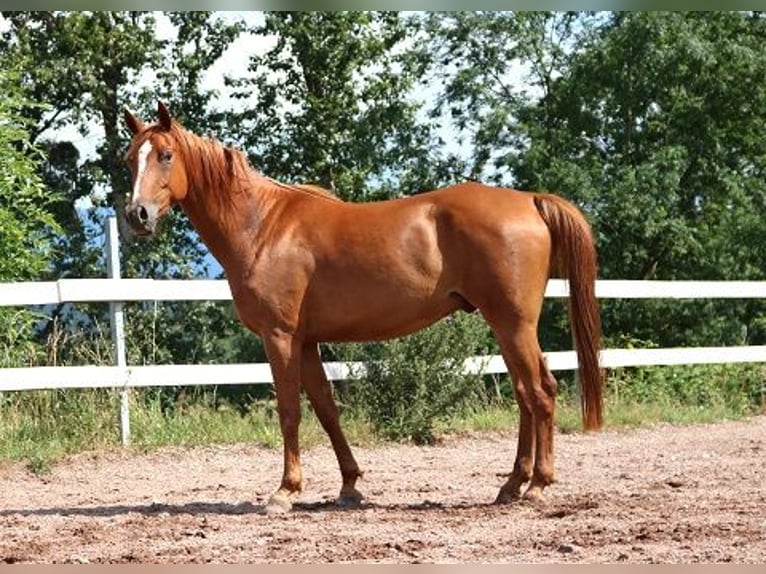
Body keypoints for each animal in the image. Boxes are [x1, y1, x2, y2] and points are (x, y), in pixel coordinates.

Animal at [122, 101, 603, 514]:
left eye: (165, 155)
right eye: (129, 159)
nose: (136, 215)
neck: (262, 225)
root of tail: (530, 201)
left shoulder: (280, 337)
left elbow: (290, 411)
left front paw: (285, 491)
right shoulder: (306, 342)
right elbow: (326, 409)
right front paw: (349, 485)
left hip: (513, 324)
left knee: (539, 393)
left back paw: (537, 486)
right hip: (506, 327)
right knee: (527, 394)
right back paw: (511, 485)